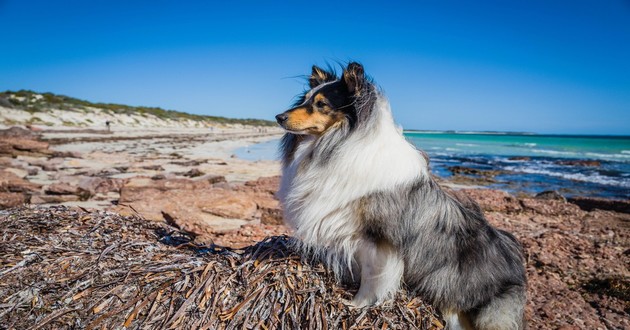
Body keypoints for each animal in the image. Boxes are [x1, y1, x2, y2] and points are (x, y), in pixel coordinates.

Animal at [276, 62, 528, 330]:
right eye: (305, 99)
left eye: (321, 104)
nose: (279, 117)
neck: (339, 141)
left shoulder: (380, 239)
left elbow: (372, 277)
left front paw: (356, 305)